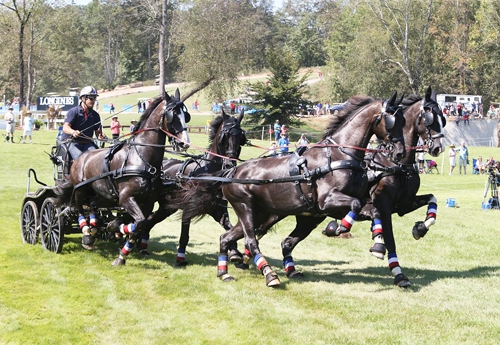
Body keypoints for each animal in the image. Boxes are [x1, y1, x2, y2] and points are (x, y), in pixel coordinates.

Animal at [52, 87, 189, 264]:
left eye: (186, 115)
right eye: (173, 114)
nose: (184, 143)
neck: (141, 159)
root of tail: (81, 158)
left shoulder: (147, 202)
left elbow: (139, 224)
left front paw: (121, 252)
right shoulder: (126, 199)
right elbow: (138, 222)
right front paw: (117, 230)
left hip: (104, 195)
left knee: (93, 205)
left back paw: (95, 227)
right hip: (80, 189)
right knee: (78, 207)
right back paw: (87, 233)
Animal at [137, 107, 248, 264]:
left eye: (240, 138)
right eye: (225, 135)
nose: (229, 164)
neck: (209, 173)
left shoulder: (219, 211)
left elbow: (229, 228)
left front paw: (234, 253)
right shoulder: (188, 209)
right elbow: (184, 236)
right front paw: (181, 258)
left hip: (167, 207)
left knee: (150, 220)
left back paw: (142, 245)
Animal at [178, 92, 408, 286]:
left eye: (404, 121)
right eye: (392, 121)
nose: (400, 153)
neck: (340, 154)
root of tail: (231, 172)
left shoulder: (340, 207)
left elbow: (373, 210)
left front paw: (378, 244)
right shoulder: (328, 201)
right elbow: (356, 203)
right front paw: (343, 227)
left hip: (260, 213)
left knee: (227, 238)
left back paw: (224, 272)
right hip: (245, 208)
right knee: (251, 240)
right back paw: (269, 274)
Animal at [324, 86, 446, 288]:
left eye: (442, 118)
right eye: (429, 118)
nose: (438, 148)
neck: (396, 163)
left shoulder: (404, 204)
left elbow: (432, 199)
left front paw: (421, 228)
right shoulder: (384, 205)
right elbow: (390, 240)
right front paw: (399, 274)